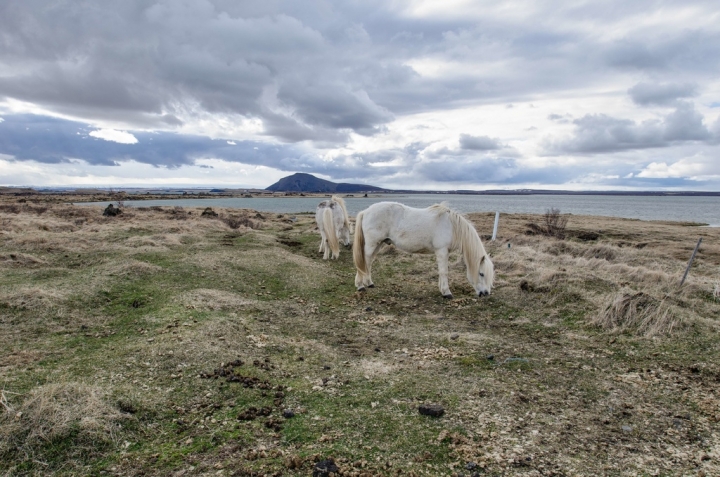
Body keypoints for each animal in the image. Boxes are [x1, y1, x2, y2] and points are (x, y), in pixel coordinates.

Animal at [354, 202, 496, 298]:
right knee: (364, 262)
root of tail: (366, 211)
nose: (485, 293)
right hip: (372, 244)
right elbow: (444, 272)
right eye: (481, 273)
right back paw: (360, 286)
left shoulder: (443, 252)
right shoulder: (442, 251)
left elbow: (441, 271)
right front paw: (447, 293)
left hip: (378, 244)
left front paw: (442, 290)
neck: (452, 226)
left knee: (369, 262)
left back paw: (369, 283)